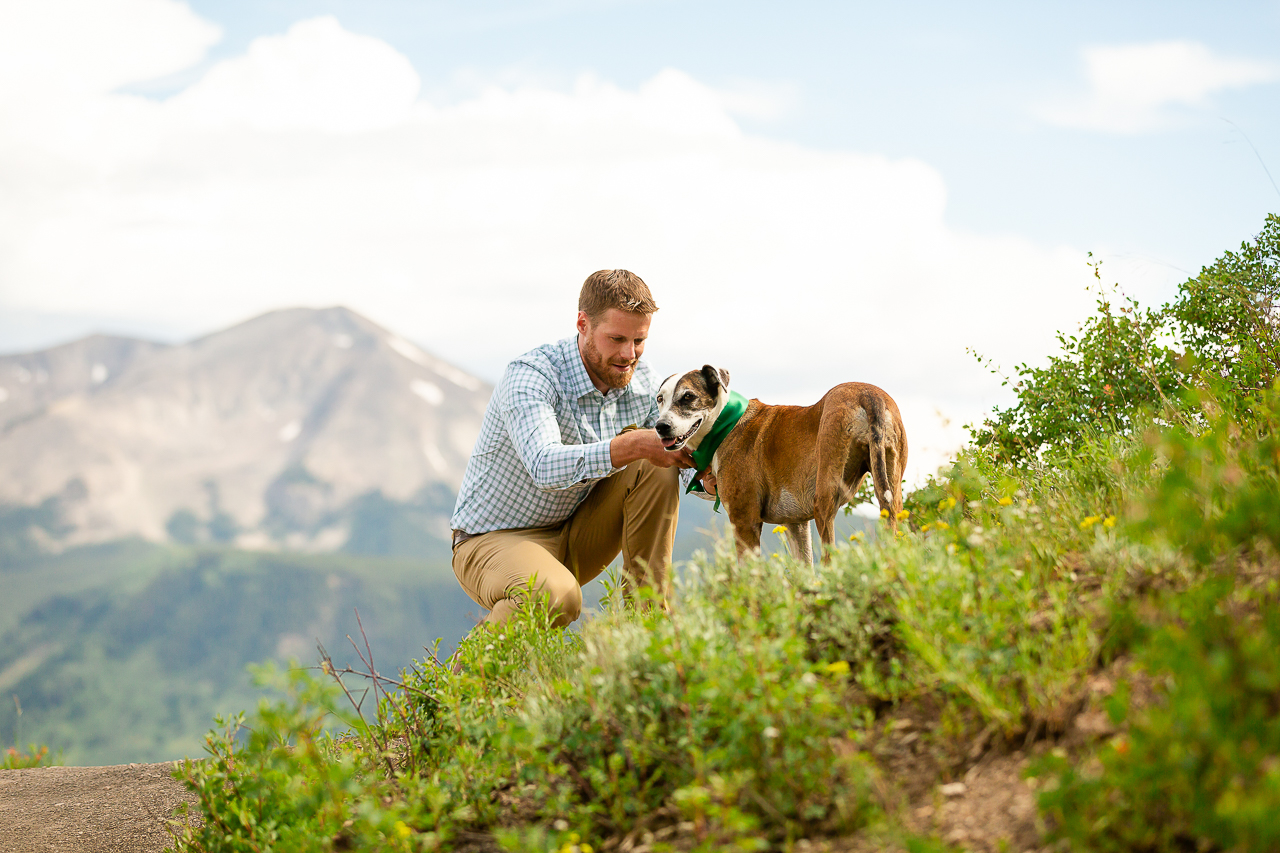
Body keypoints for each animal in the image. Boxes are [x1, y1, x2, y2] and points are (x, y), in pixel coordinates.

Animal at [655, 363, 906, 558]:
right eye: (659, 399)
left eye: (688, 397)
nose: (660, 426)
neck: (724, 423)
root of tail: (868, 395)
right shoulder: (797, 524)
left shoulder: (744, 520)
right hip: (892, 498)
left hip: (824, 502)